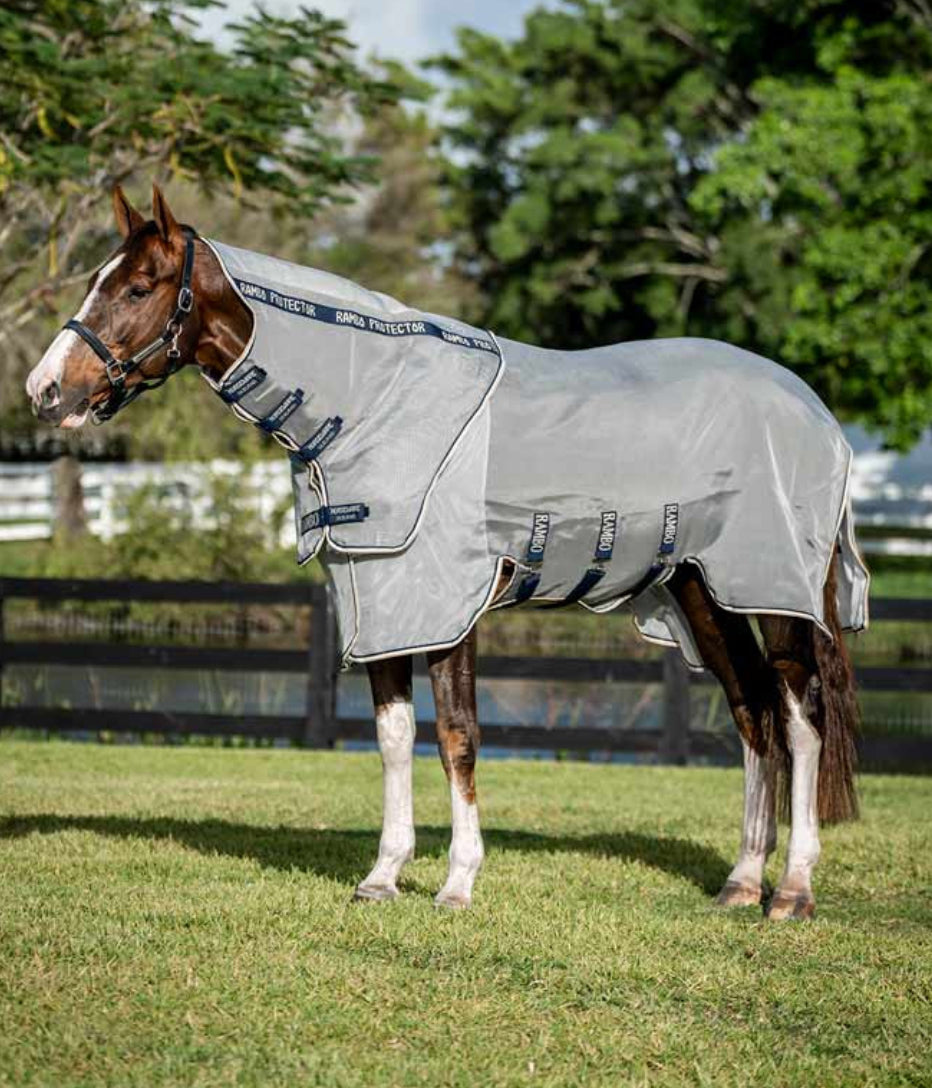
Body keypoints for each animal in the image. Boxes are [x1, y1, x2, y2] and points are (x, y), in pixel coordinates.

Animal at [26, 184, 868, 919]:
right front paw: (382, 876)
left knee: (801, 716)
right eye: (100, 279)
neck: (375, 403)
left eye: (138, 286)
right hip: (703, 592)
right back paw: (741, 883)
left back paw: (792, 891)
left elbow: (458, 737)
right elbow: (395, 737)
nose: (44, 390)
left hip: (776, 595)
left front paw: (458, 883)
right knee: (752, 710)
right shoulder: (382, 604)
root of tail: (818, 415)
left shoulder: (450, 608)